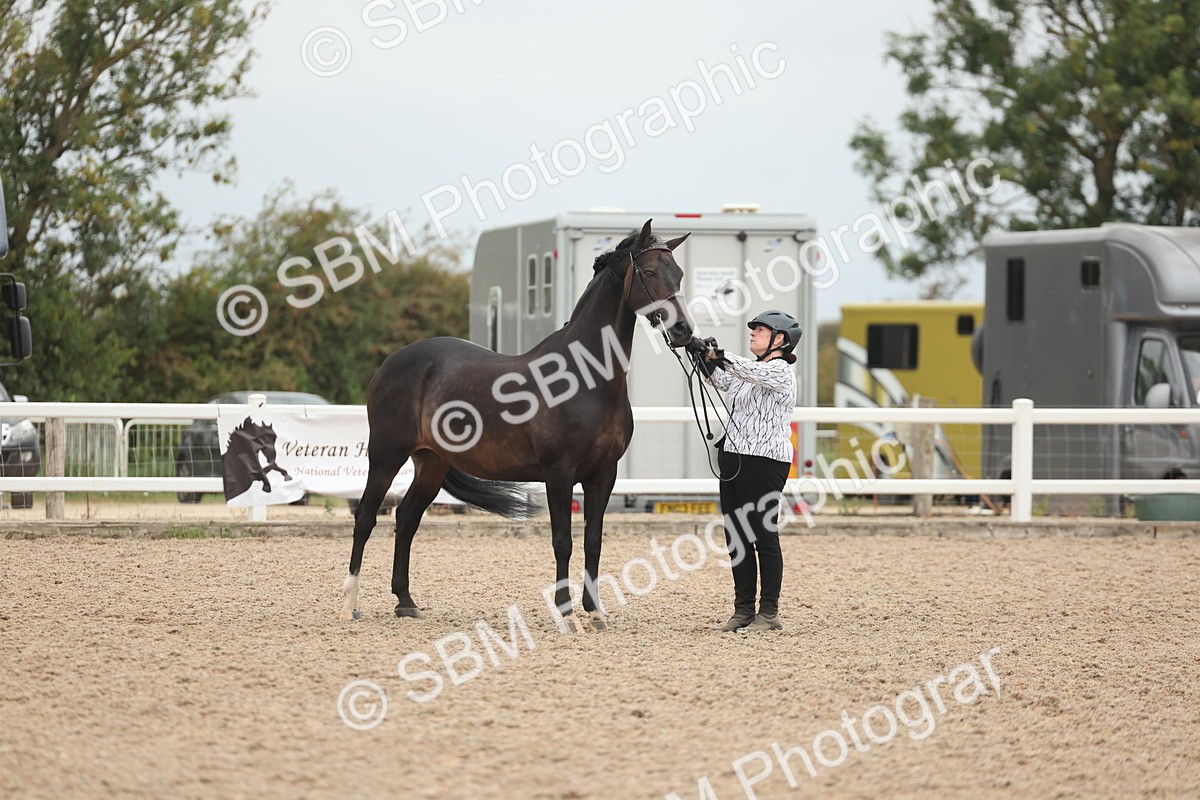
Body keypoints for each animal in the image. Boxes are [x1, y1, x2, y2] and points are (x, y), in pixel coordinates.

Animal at [339, 219, 694, 629]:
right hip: (386, 455)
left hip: (431, 462)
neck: (584, 379)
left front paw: (595, 611)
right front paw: (564, 612)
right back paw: (350, 603)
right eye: (649, 272)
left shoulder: (604, 474)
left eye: (678, 273)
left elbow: (593, 541)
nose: (684, 331)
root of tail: (391, 362)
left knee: (407, 517)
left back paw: (405, 601)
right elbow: (562, 541)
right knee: (365, 516)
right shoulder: (559, 472)